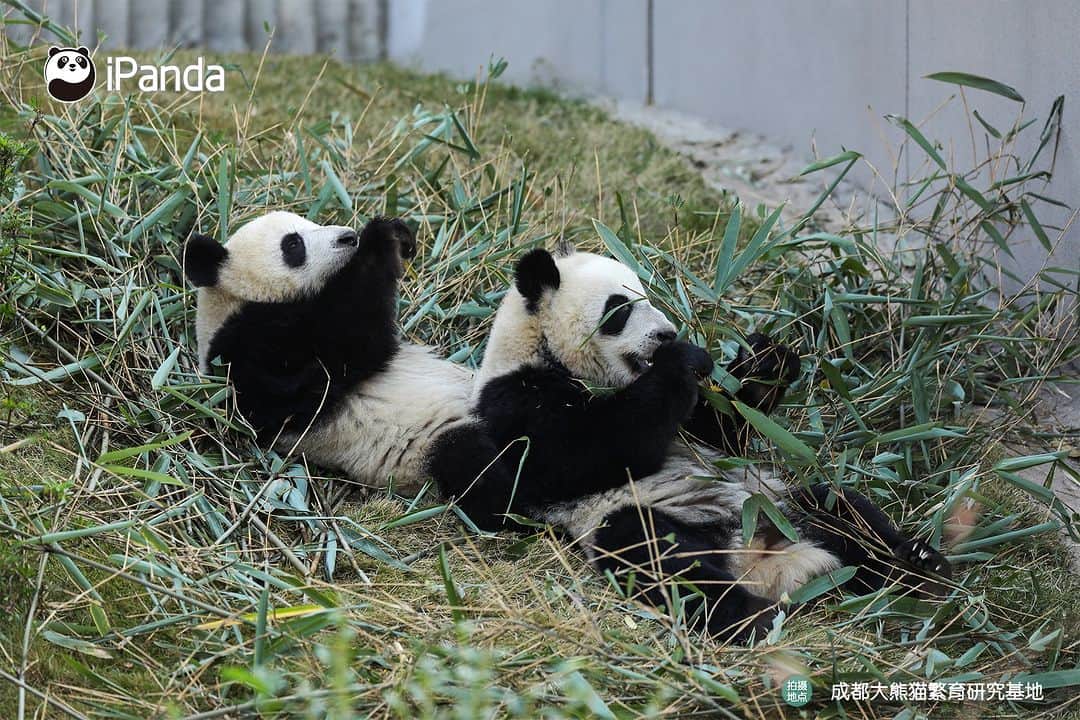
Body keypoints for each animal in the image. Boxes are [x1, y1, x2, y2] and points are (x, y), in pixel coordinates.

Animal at [183, 211, 501, 497]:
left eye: (312, 222)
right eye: (293, 244)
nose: (348, 237)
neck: (233, 302)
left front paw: (396, 233)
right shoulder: (246, 360)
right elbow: (345, 353)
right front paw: (378, 240)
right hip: (428, 444)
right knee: (477, 465)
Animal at [459, 246, 953, 642]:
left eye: (648, 294)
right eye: (619, 308)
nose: (666, 333)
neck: (545, 351)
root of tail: (761, 558)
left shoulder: (694, 424)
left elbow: (720, 430)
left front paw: (766, 360)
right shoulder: (514, 401)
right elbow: (580, 454)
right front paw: (682, 359)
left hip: (777, 504)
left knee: (840, 509)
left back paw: (918, 567)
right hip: (655, 521)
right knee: (656, 553)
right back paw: (752, 617)